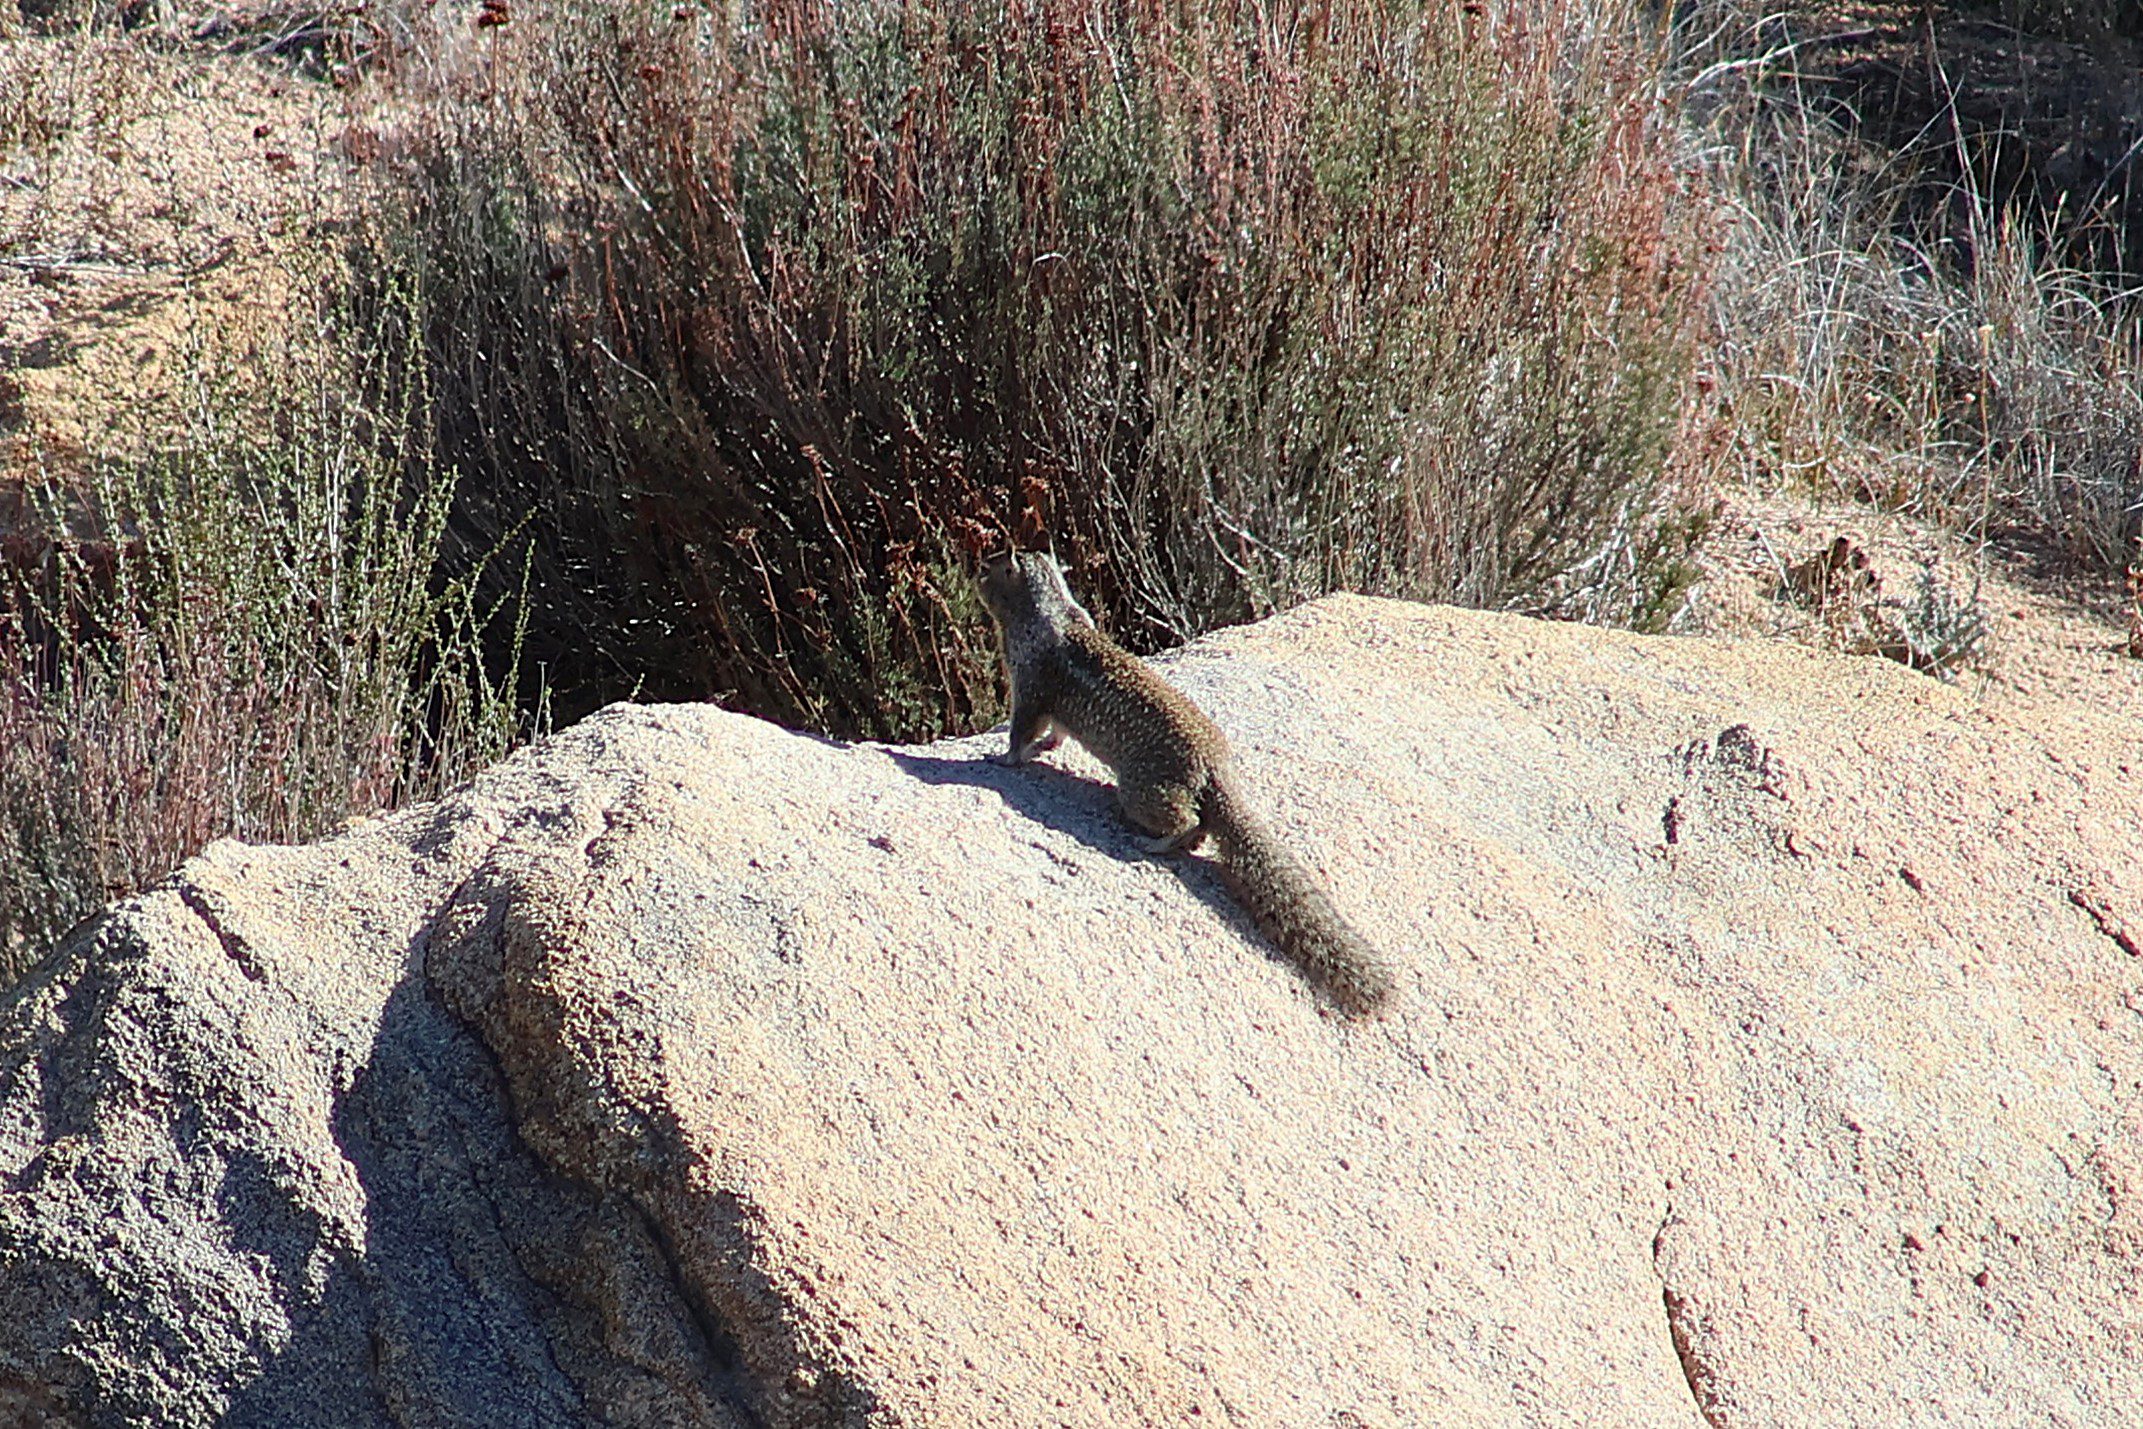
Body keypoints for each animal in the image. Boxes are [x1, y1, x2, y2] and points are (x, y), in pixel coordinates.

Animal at [976, 548, 1394, 1015]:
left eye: (990, 568)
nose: (974, 573)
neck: (1047, 609)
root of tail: (1217, 768)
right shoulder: (1048, 701)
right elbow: (1056, 732)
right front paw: (1043, 748)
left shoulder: (1029, 684)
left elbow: (1021, 731)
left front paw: (1002, 758)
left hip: (1139, 790)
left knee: (1188, 821)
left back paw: (1151, 844)